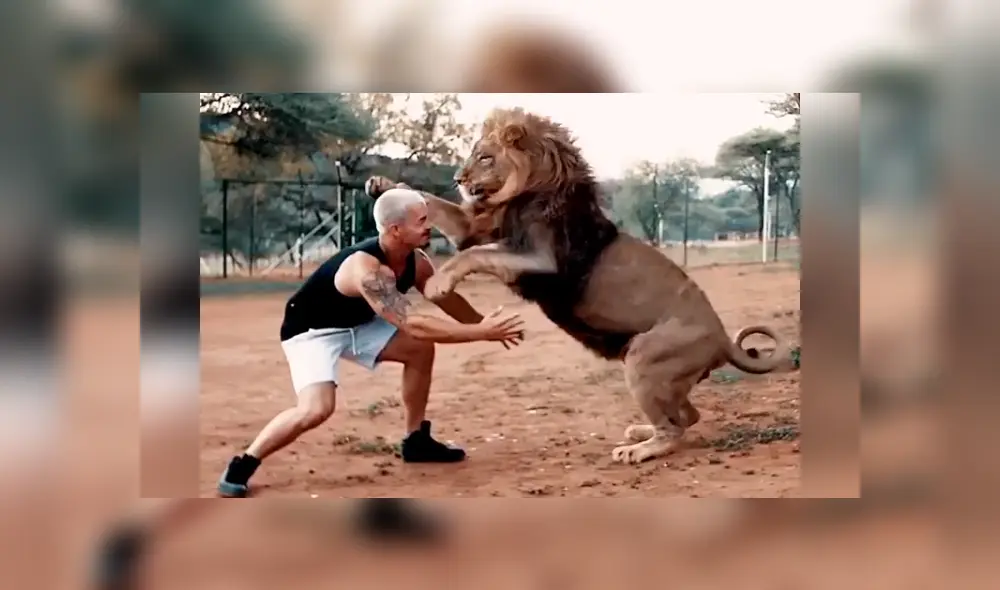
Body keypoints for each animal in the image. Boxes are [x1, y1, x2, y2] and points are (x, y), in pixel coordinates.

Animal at [364, 108, 791, 465]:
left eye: (485, 157)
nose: (458, 179)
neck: (526, 191)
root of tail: (722, 338)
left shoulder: (539, 260)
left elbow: (474, 255)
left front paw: (438, 283)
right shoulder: (475, 227)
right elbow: (432, 203)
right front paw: (382, 183)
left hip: (645, 359)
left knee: (674, 427)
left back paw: (638, 450)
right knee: (688, 414)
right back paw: (640, 431)